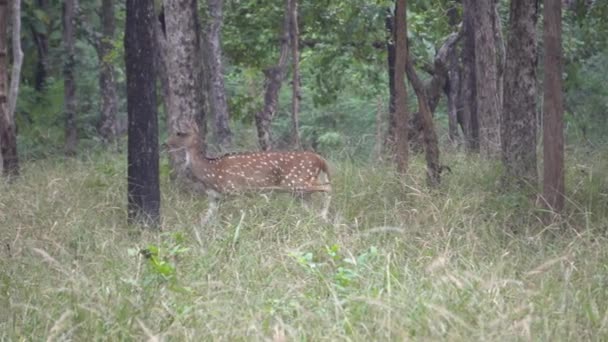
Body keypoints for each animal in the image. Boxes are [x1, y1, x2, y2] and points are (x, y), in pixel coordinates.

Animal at [165, 128, 332, 224]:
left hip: (298, 181)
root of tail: (320, 159)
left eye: (179, 133)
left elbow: (240, 214)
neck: (211, 172)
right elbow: (204, 219)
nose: (166, 143)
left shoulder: (236, 189)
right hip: (300, 190)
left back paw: (323, 216)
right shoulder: (215, 197)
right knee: (310, 204)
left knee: (328, 187)